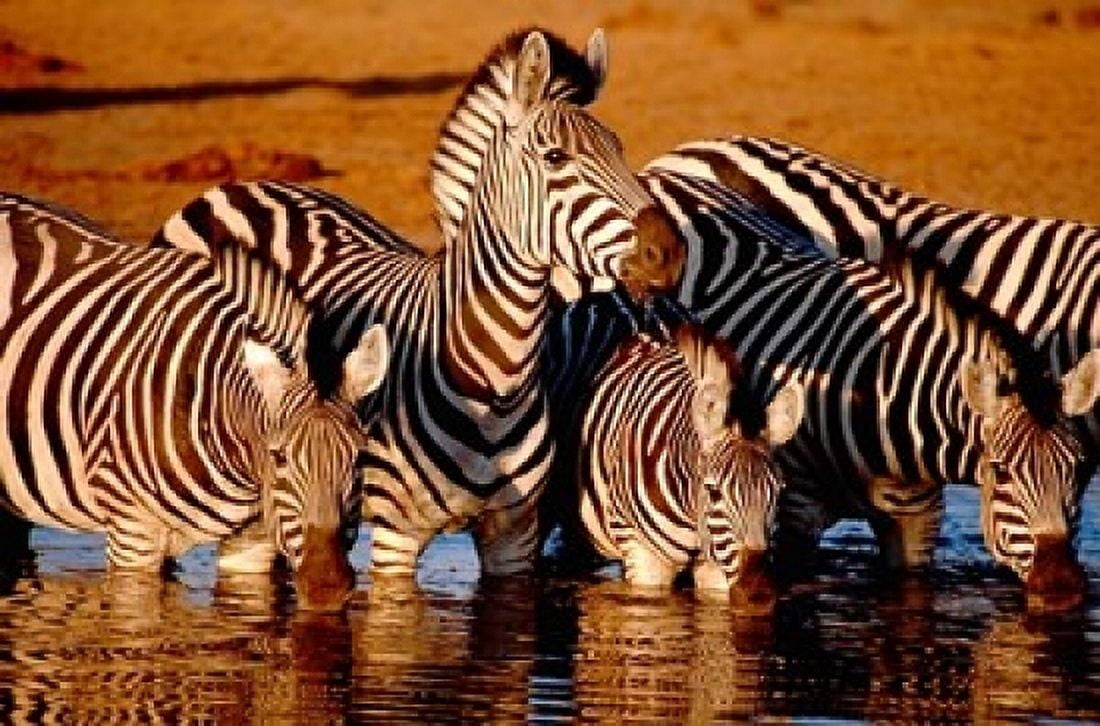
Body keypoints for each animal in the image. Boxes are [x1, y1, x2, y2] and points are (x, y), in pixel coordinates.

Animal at [150, 30, 684, 578]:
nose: (669, 251)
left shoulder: (514, 534)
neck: (494, 379)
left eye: (619, 149)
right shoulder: (395, 537)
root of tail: (237, 185)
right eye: (555, 158)